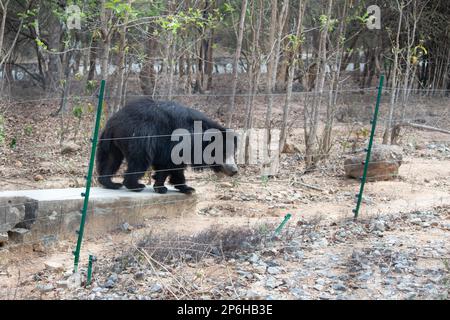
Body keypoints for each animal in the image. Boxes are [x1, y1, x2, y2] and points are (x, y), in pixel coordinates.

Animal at [96, 97, 239, 194]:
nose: (234, 170)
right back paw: (135, 185)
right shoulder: (176, 141)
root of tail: (115, 122)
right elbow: (170, 163)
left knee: (110, 159)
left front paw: (184, 187)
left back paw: (111, 183)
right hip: (139, 137)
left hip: (112, 141)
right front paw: (164, 188)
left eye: (233, 153)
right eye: (223, 152)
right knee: (140, 161)